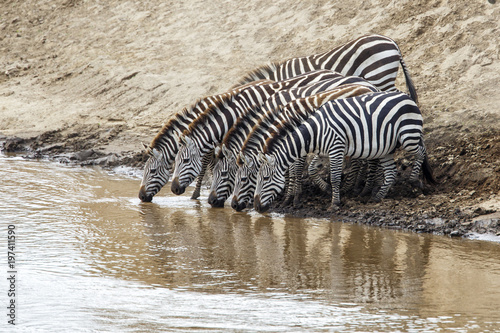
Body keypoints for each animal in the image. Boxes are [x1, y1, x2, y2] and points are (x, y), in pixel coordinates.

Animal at [207, 74, 378, 206]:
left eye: (241, 179)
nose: (211, 202)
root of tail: (370, 86)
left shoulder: (299, 141)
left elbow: (295, 169)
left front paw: (294, 197)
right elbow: (289, 168)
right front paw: (289, 195)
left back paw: (359, 188)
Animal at [256, 90, 436, 213]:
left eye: (265, 179)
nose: (256, 207)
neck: (316, 132)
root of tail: (406, 96)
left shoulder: (336, 148)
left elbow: (335, 178)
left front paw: (335, 203)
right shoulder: (323, 152)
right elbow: (312, 170)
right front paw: (327, 190)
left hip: (408, 135)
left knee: (421, 152)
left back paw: (415, 181)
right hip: (387, 147)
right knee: (391, 171)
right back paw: (378, 196)